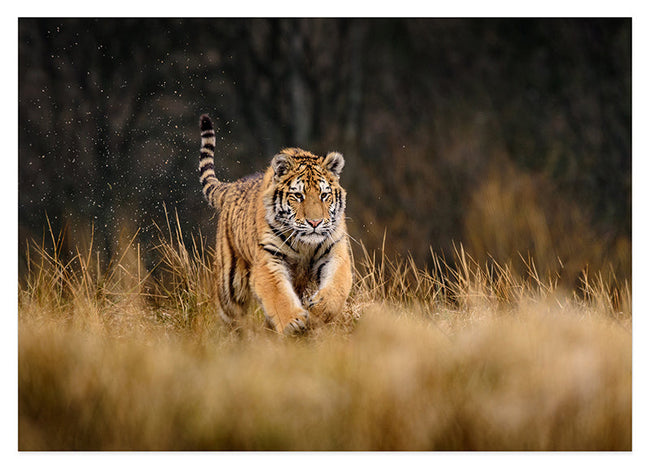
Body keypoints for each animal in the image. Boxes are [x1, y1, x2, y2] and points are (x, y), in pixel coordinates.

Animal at [198, 114, 353, 335]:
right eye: (298, 196)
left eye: (324, 195)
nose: (315, 222)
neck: (304, 244)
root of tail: (233, 185)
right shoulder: (269, 259)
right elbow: (278, 294)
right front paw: (293, 322)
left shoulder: (334, 251)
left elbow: (337, 285)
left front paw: (319, 310)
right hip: (231, 283)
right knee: (230, 314)